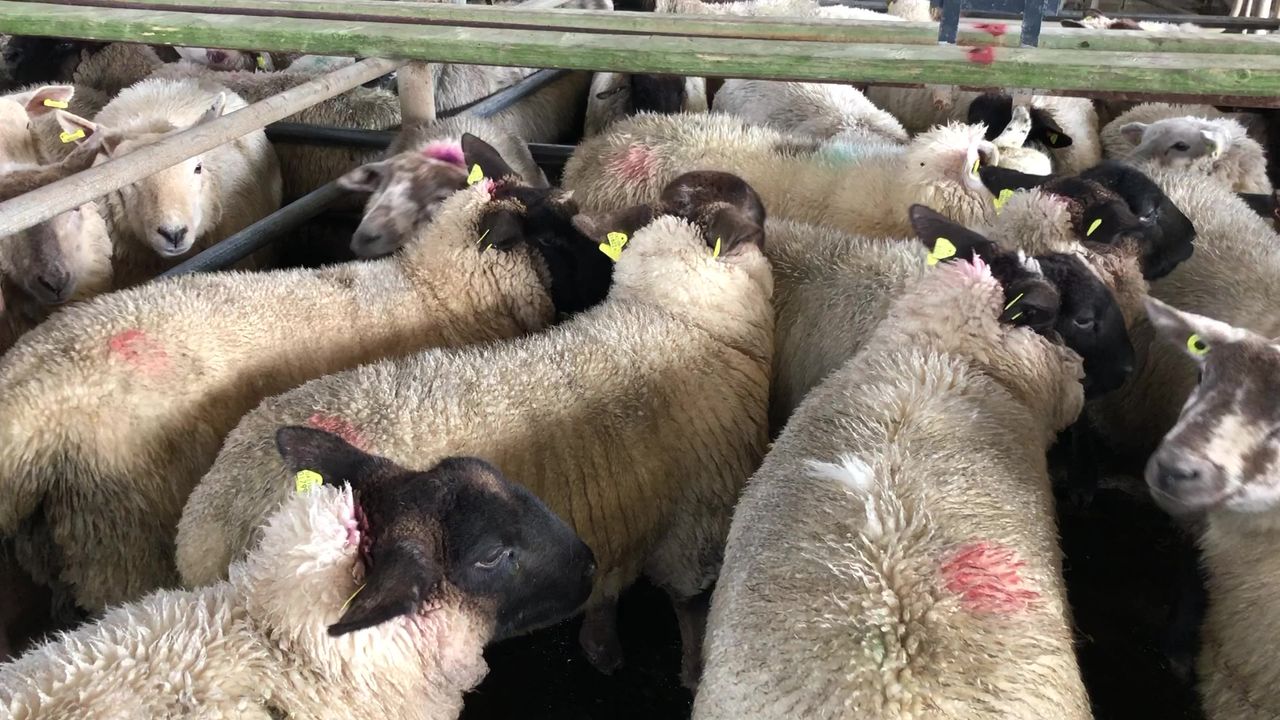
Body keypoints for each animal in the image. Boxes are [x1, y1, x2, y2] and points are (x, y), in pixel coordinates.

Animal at [175, 176, 775, 688]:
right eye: (551, 238)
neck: (673, 316)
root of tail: (204, 523)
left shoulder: (626, 513)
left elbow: (605, 586)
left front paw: (601, 646)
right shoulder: (695, 525)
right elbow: (689, 608)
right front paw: (693, 673)